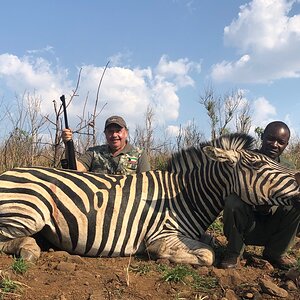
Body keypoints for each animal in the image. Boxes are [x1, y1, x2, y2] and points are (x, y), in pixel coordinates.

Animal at [0, 132, 298, 266]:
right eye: (257, 165)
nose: (298, 182)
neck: (188, 197)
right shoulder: (161, 235)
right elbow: (206, 254)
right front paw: (162, 257)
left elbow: (210, 243)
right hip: (30, 209)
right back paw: (29, 248)